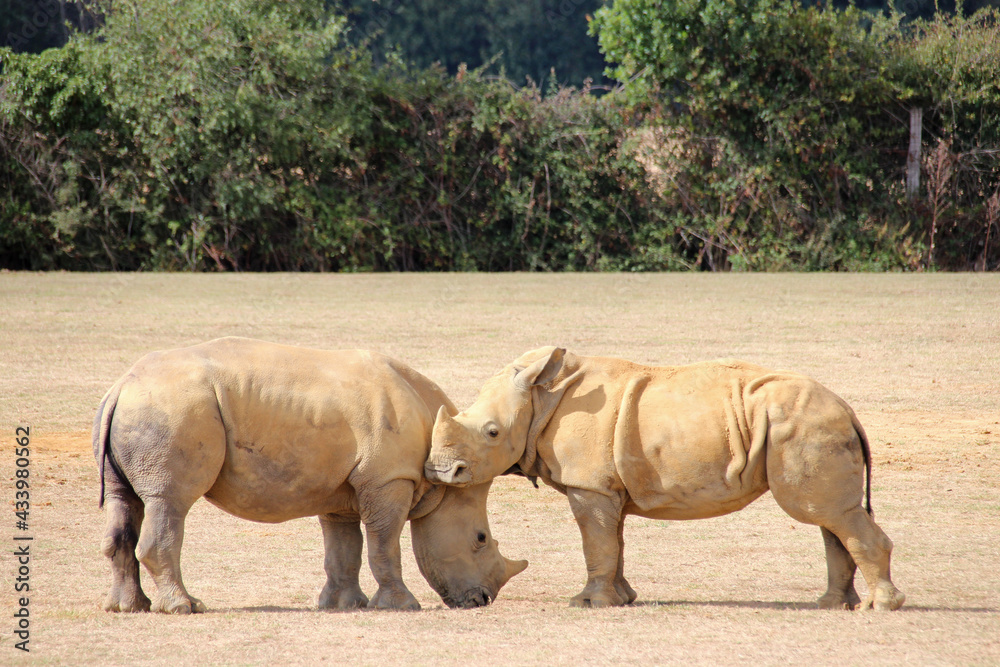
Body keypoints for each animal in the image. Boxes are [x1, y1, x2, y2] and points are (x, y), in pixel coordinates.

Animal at [94, 337, 527, 614]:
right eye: (480, 539)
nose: (482, 600)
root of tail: (120, 385)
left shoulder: (342, 488)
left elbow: (343, 548)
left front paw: (344, 605)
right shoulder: (388, 479)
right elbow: (384, 544)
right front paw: (403, 607)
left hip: (144, 408)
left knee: (125, 502)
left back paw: (127, 608)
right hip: (173, 410)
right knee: (169, 501)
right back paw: (185, 608)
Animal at [425, 347, 905, 611]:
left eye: (491, 433)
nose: (440, 470)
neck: (541, 398)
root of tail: (847, 409)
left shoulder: (588, 486)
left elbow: (596, 543)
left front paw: (587, 604)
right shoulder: (607, 487)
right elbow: (613, 542)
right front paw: (623, 599)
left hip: (805, 425)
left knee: (825, 513)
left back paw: (880, 607)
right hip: (810, 425)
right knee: (829, 516)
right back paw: (833, 606)